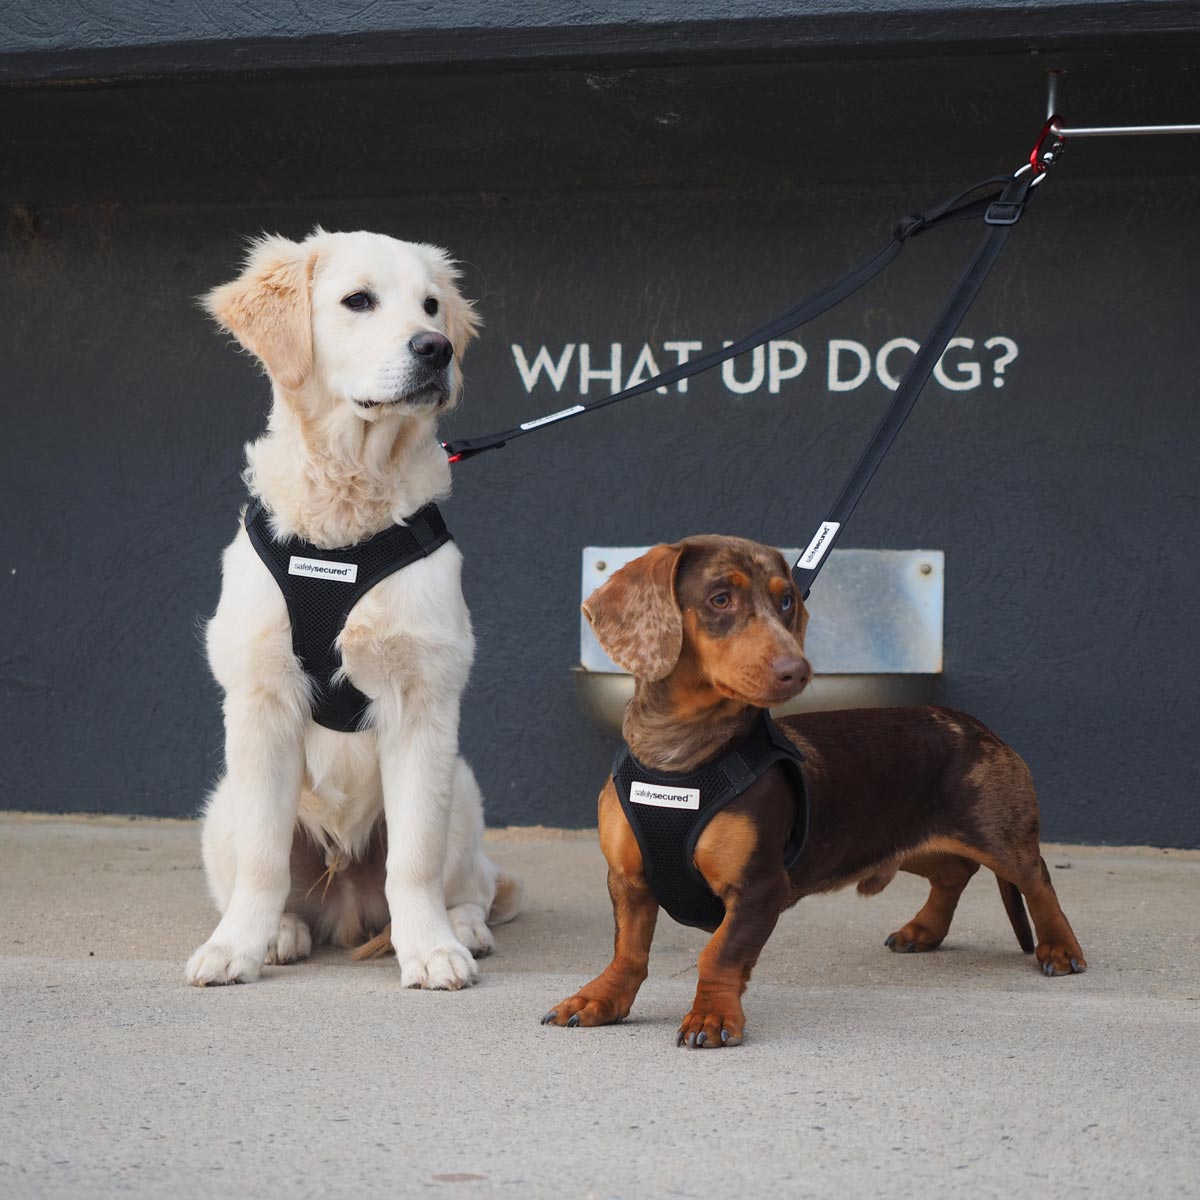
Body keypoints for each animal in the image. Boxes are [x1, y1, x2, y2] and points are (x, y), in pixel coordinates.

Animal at [188, 229, 520, 988]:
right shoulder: (259, 701)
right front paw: (234, 948)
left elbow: (415, 860)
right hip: (221, 806)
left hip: (462, 787)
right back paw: (279, 932)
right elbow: (261, 861)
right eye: (358, 301)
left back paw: (461, 926)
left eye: (431, 305)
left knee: (475, 881)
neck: (346, 523)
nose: (437, 348)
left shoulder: (425, 699)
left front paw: (430, 949)